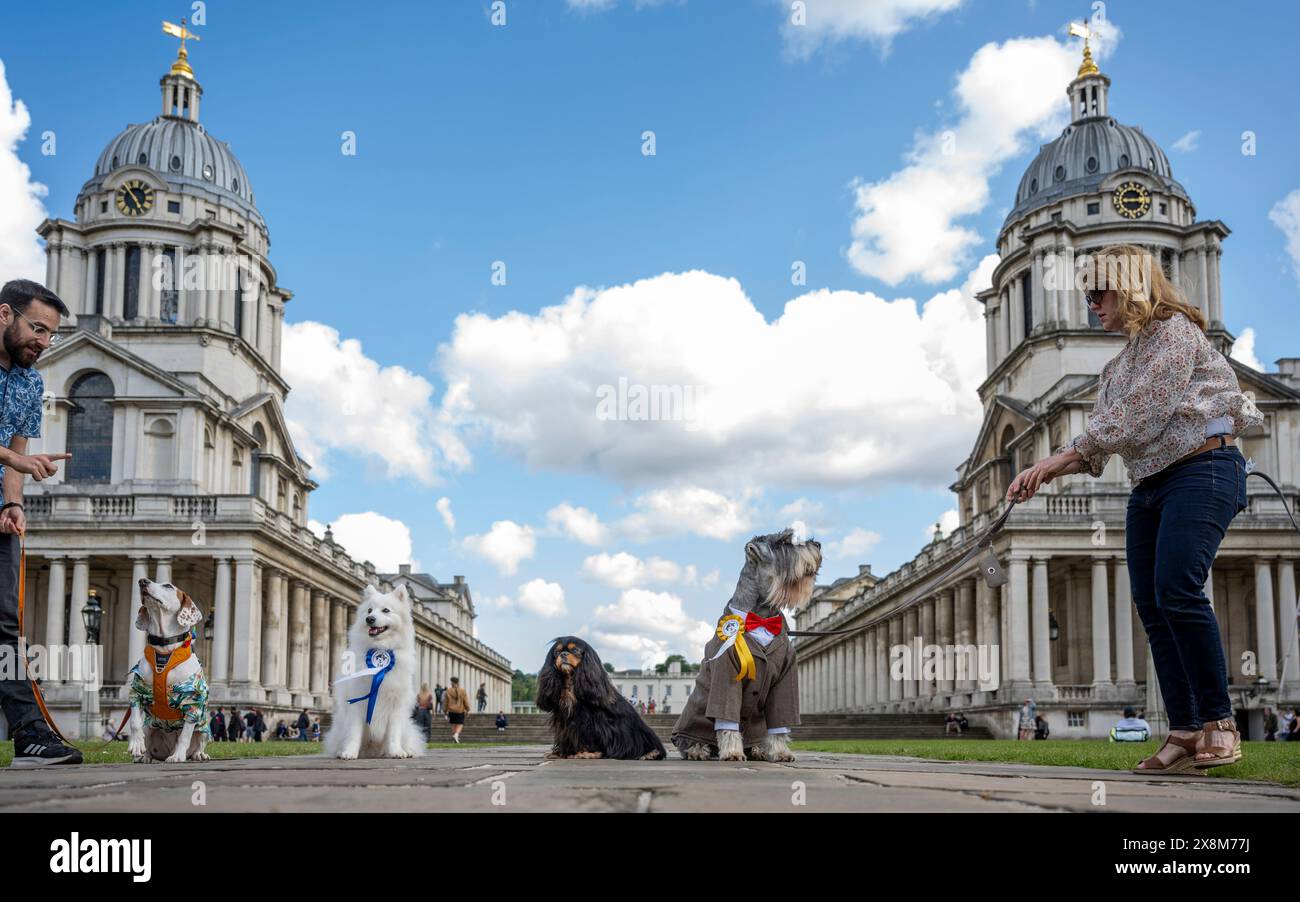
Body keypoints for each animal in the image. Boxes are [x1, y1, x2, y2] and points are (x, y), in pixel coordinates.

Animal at [325, 582, 426, 759]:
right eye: (369, 610)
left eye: (386, 610)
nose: (369, 619)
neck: (380, 648)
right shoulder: (357, 701)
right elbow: (354, 733)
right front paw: (349, 752)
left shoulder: (396, 705)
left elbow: (393, 734)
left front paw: (396, 751)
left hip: (407, 726)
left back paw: (407, 751)